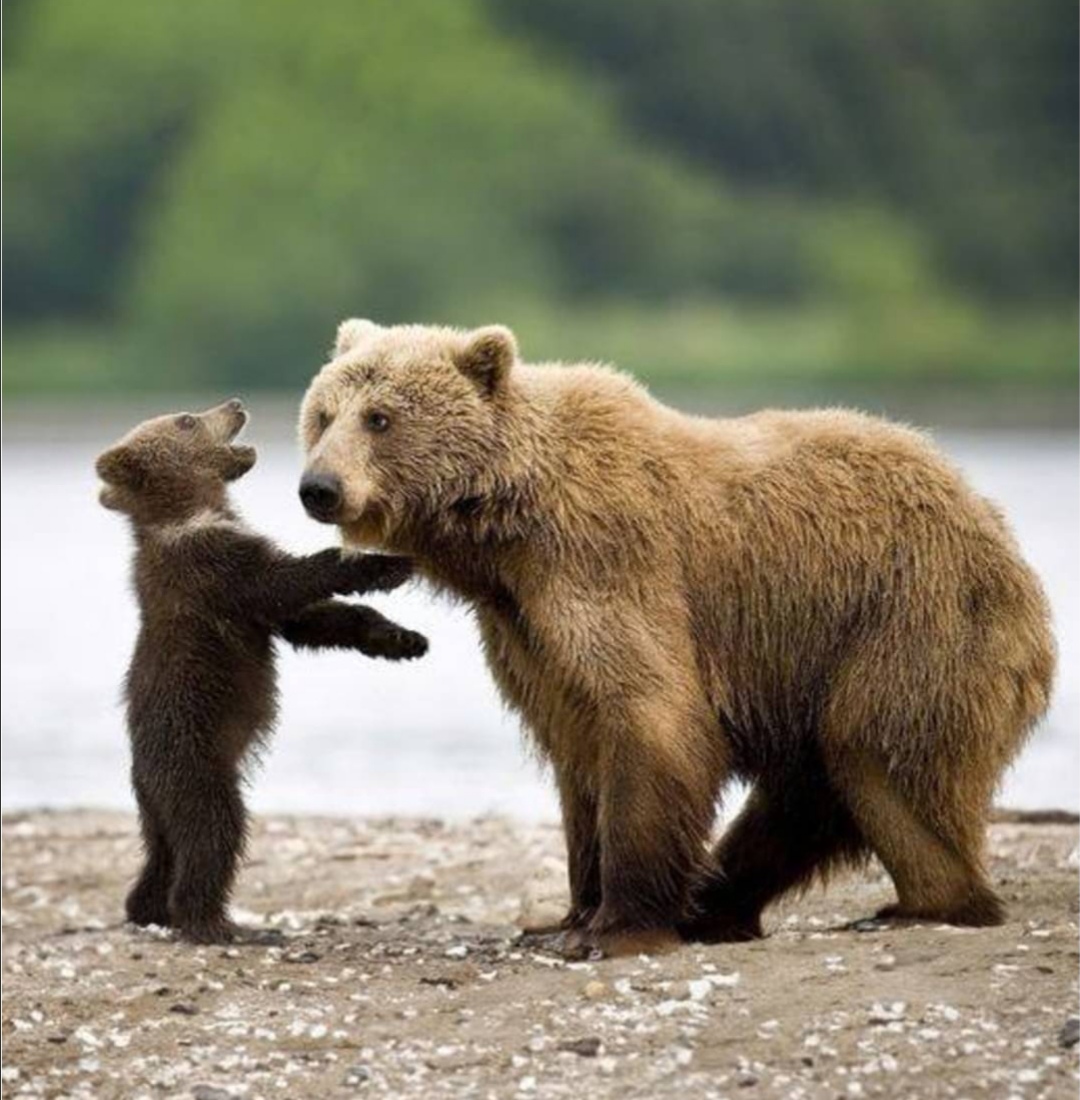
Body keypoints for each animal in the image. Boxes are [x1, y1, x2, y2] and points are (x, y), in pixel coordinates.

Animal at [97, 399, 427, 943]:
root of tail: (143, 776)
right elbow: (286, 582)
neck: (189, 512)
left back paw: (147, 908)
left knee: (162, 853)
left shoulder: (237, 588)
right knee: (214, 833)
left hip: (156, 804)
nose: (234, 404)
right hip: (196, 764)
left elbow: (310, 619)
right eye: (187, 419)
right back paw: (217, 923)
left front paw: (404, 640)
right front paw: (384, 565)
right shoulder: (212, 568)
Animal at [298, 320, 1055, 957]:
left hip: (909, 617)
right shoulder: (524, 627)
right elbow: (577, 746)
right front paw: (569, 913)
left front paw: (616, 926)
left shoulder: (604, 562)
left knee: (877, 756)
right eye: (324, 414)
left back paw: (921, 905)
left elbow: (650, 713)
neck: (503, 529)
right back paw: (718, 904)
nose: (318, 487)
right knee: (810, 790)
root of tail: (995, 525)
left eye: (380, 417)